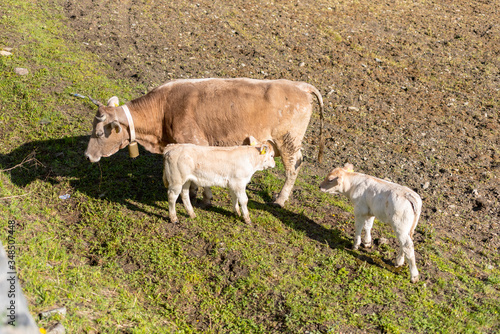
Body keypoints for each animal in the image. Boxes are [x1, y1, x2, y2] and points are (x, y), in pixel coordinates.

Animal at [85, 78, 324, 206]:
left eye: (99, 133)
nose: (87, 156)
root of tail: (300, 86)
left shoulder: (195, 141)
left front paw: (203, 197)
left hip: (288, 141)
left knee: (293, 169)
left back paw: (280, 199)